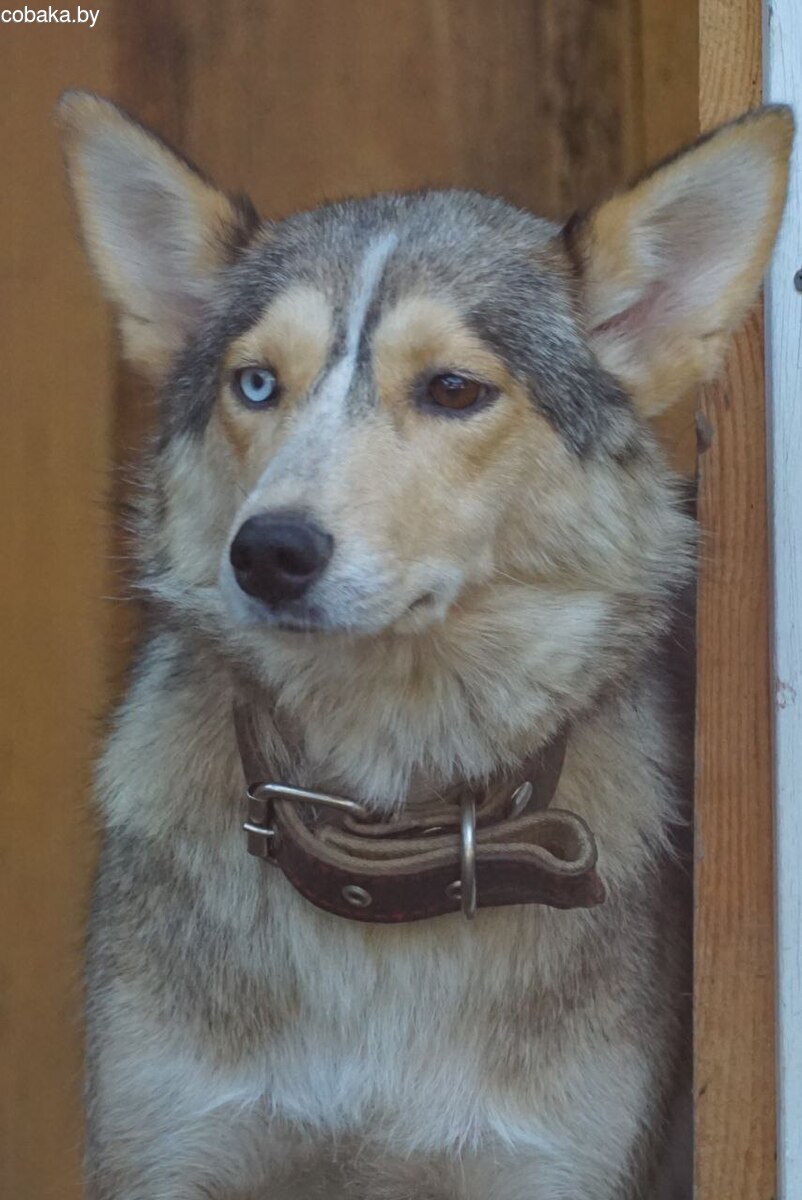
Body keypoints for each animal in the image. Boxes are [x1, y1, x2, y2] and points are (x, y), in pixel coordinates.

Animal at [58, 91, 792, 1199]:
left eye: (453, 390)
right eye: (257, 385)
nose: (267, 552)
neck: (385, 832)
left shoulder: (544, 1165)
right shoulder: (169, 1152)